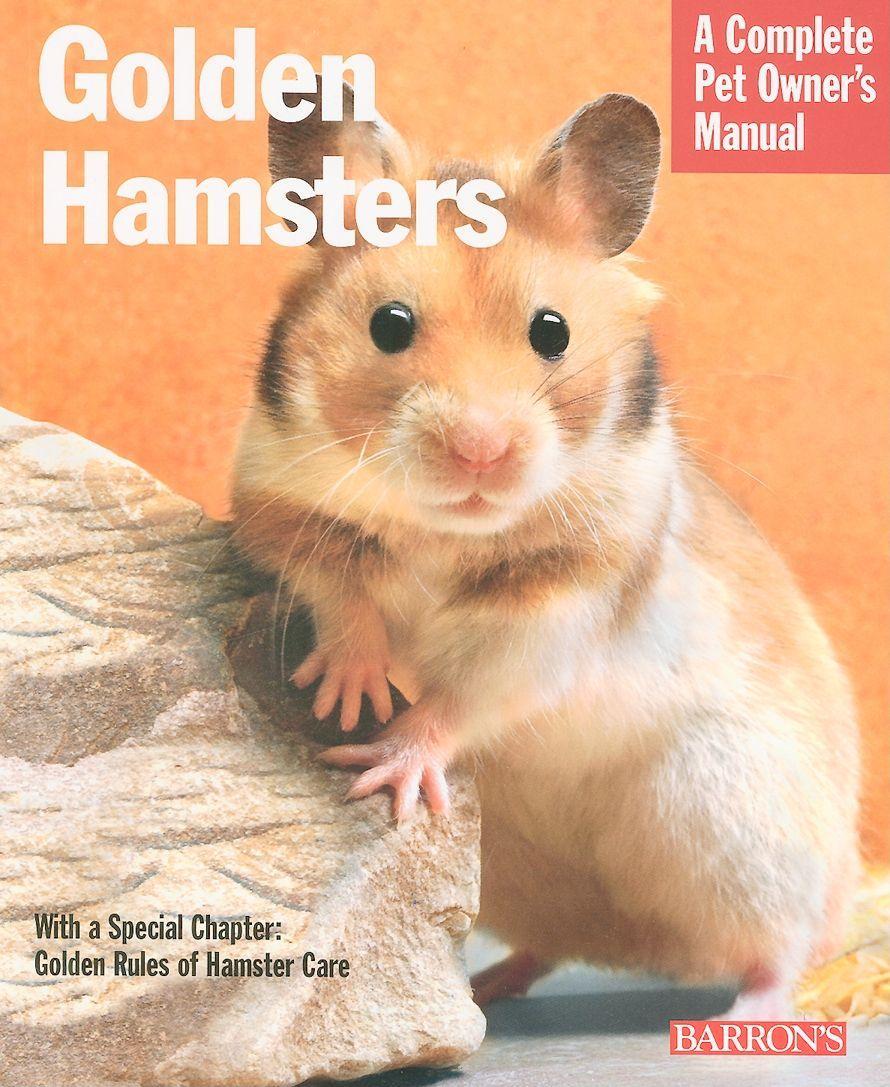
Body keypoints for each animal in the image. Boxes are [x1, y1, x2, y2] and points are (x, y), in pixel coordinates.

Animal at [231, 83, 860, 1019]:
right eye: (389, 324)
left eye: (552, 332)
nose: (479, 450)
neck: (449, 530)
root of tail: (643, 947)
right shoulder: (277, 503)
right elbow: (342, 586)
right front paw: (348, 695)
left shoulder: (558, 609)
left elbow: (469, 694)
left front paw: (382, 769)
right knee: (550, 947)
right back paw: (489, 987)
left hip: (737, 829)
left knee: (782, 949)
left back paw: (743, 1014)